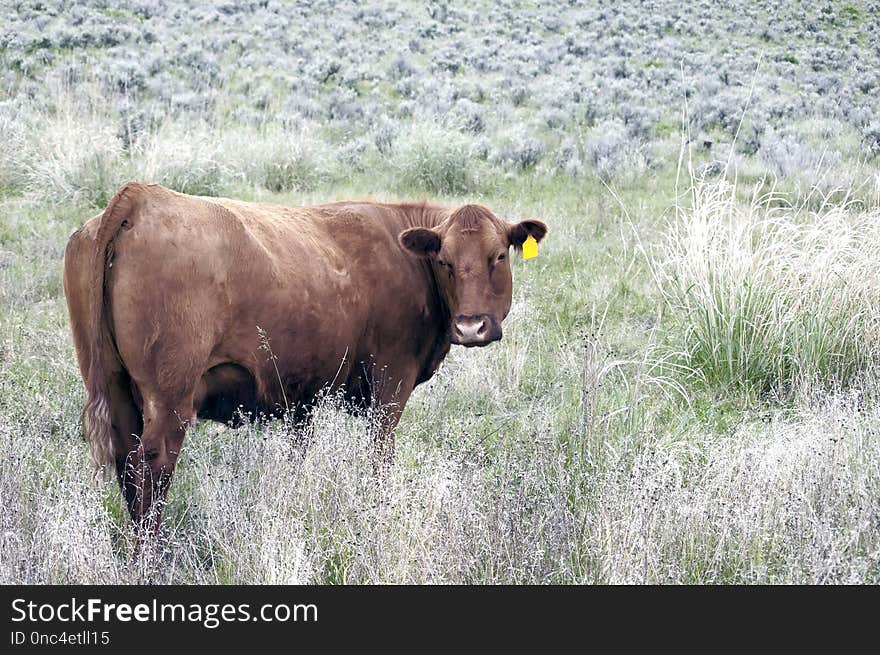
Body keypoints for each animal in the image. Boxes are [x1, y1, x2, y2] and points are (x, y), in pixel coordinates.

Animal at [62, 182, 544, 536]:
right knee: (152, 470)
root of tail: (141, 197)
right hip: (169, 400)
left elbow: (299, 457)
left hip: (115, 388)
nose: (471, 327)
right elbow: (380, 458)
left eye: (498, 256)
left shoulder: (303, 397)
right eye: (444, 261)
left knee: (127, 465)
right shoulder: (391, 381)